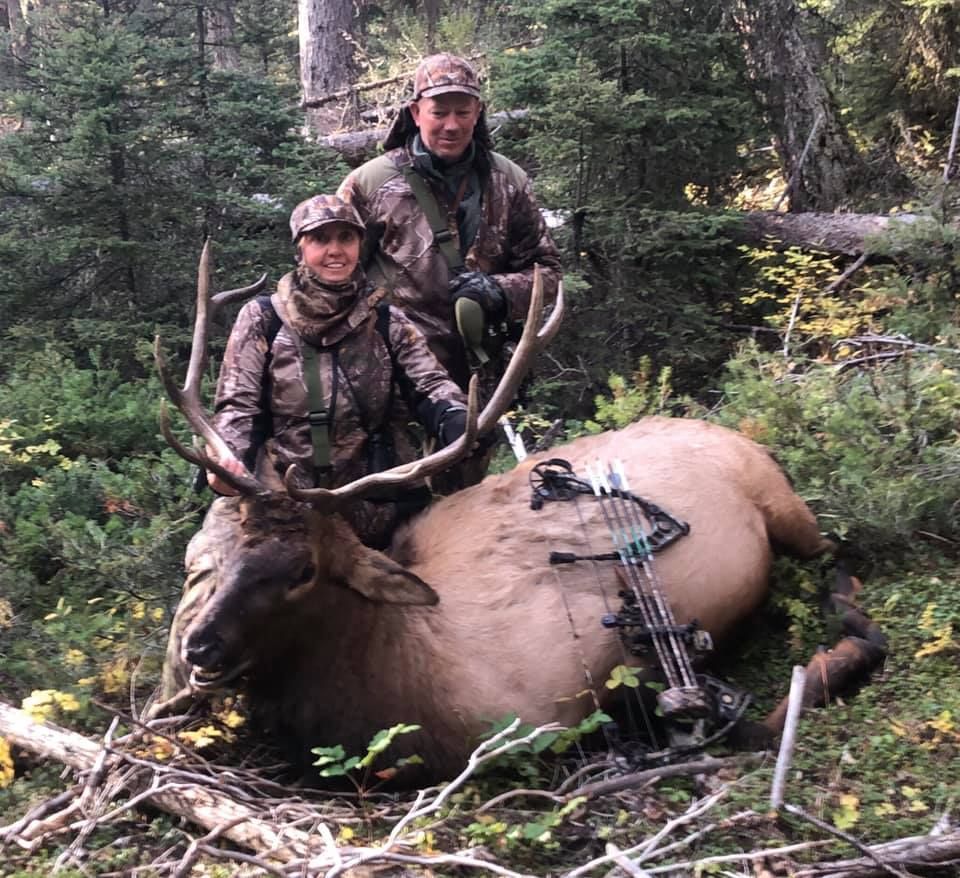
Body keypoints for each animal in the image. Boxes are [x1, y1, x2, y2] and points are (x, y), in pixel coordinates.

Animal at [152, 249, 887, 781]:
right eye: (219, 555)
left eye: (304, 569)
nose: (200, 646)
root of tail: (728, 429)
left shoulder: (559, 702)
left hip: (785, 504)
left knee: (845, 558)